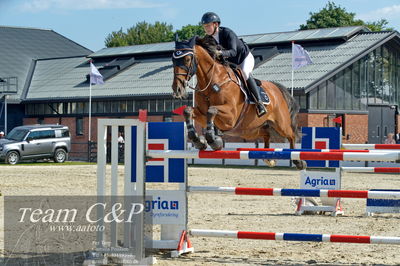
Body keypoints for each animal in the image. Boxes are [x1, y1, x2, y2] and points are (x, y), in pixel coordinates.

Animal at [171, 35, 306, 169]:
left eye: (187, 59)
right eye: (173, 60)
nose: (177, 89)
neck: (212, 81)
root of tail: (277, 89)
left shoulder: (230, 117)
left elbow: (212, 110)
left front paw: (213, 141)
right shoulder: (202, 115)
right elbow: (188, 111)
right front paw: (199, 141)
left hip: (280, 125)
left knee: (291, 135)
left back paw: (298, 162)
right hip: (249, 130)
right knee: (266, 133)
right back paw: (269, 159)